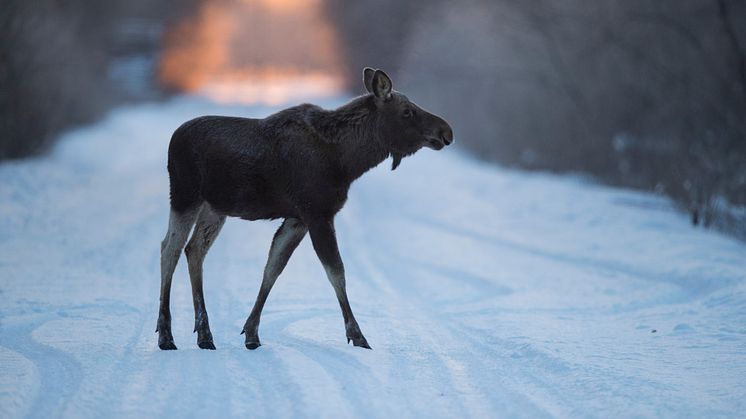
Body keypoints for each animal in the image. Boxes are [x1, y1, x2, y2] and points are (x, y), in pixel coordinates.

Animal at [155, 68, 454, 352]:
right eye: (407, 111)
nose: (446, 131)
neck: (348, 162)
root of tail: (172, 140)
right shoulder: (317, 212)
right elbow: (336, 272)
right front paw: (358, 336)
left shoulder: (297, 217)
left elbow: (273, 268)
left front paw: (251, 333)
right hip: (185, 194)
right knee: (169, 248)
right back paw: (166, 335)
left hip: (215, 207)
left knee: (194, 249)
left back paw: (205, 335)